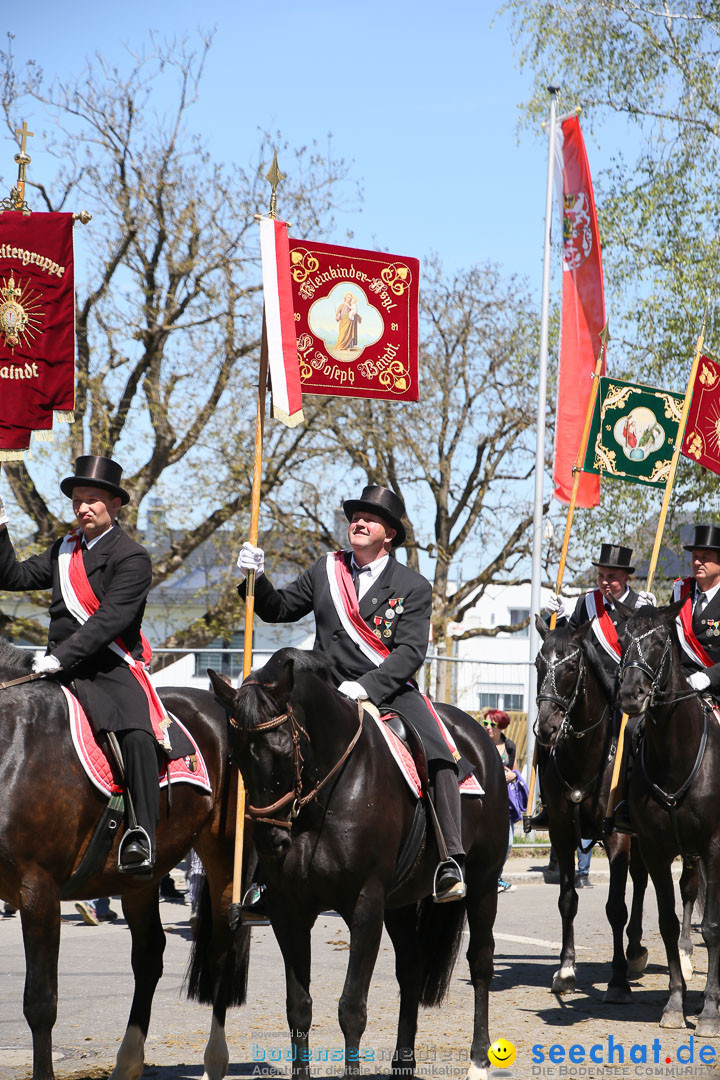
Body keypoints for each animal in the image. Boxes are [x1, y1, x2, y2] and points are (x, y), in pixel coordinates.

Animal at [0, 639, 250, 1080]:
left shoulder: (38, 890)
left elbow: (40, 1003)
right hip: (139, 880)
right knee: (149, 955)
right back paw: (129, 1061)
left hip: (222, 857)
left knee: (221, 950)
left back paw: (214, 1061)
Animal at [211, 648, 509, 1080]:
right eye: (234, 756)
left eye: (283, 752)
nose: (271, 842)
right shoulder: (289, 911)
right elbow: (298, 1008)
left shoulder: (365, 904)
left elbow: (351, 1009)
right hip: (400, 902)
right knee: (411, 970)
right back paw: (404, 1062)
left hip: (484, 883)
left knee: (481, 962)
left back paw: (480, 1059)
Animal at [533, 622, 651, 997]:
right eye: (539, 664)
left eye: (571, 667)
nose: (546, 727)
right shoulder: (561, 833)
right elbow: (567, 900)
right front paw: (566, 970)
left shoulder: (617, 836)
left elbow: (615, 907)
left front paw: (617, 979)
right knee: (642, 879)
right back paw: (635, 949)